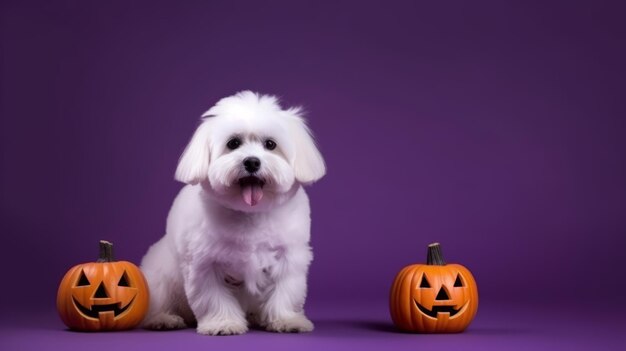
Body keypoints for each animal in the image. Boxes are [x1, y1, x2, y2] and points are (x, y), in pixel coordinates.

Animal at [140, 91, 324, 336]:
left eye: (270, 144)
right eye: (233, 143)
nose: (252, 162)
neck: (250, 213)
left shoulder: (289, 257)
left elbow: (285, 290)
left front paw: (287, 320)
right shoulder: (204, 263)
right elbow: (214, 296)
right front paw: (223, 323)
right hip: (161, 278)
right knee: (158, 302)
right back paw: (163, 319)